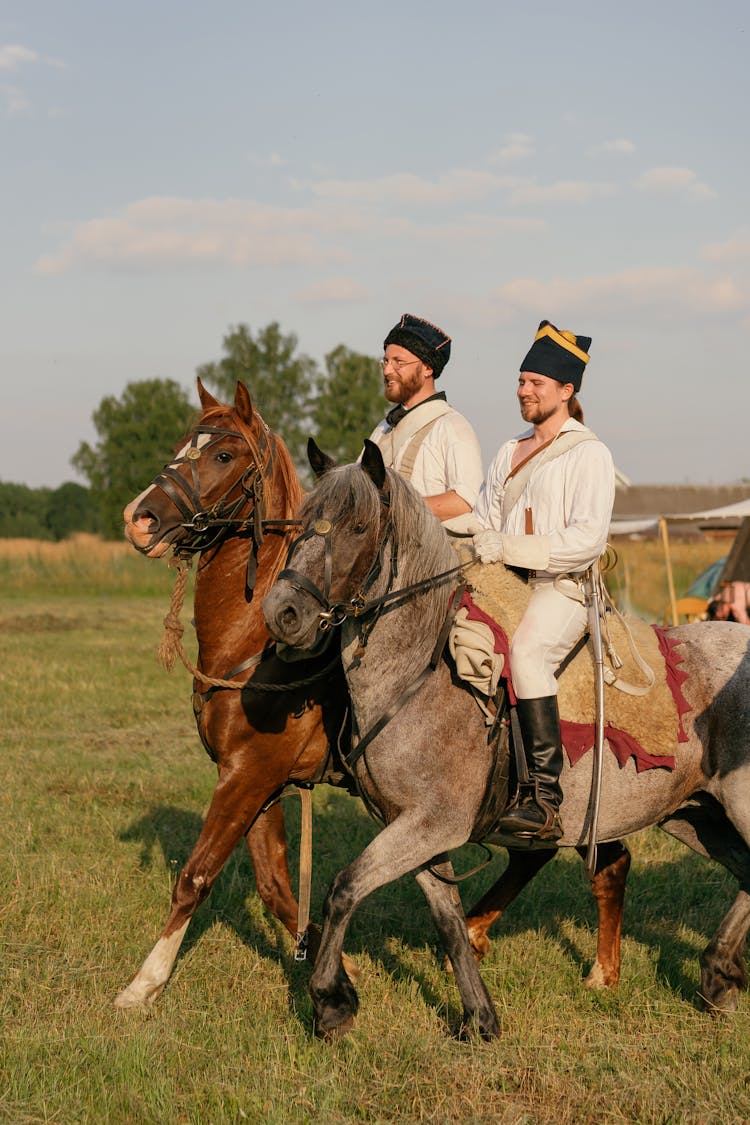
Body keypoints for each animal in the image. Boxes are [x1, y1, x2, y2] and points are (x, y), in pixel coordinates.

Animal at [117, 382, 629, 1008]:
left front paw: (143, 984)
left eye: (221, 454)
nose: (139, 519)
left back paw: (595, 967)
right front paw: (338, 967)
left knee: (597, 853)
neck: (255, 644)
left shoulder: (249, 775)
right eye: (180, 443)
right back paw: (499, 939)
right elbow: (275, 884)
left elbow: (196, 875)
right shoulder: (254, 780)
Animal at [263, 438, 750, 1035]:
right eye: (304, 520)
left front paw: (331, 1000)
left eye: (357, 526)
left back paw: (713, 969)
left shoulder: (431, 823)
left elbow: (343, 889)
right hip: (695, 816)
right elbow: (446, 917)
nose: (282, 613)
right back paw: (718, 974)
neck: (418, 672)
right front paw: (479, 1017)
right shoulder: (414, 826)